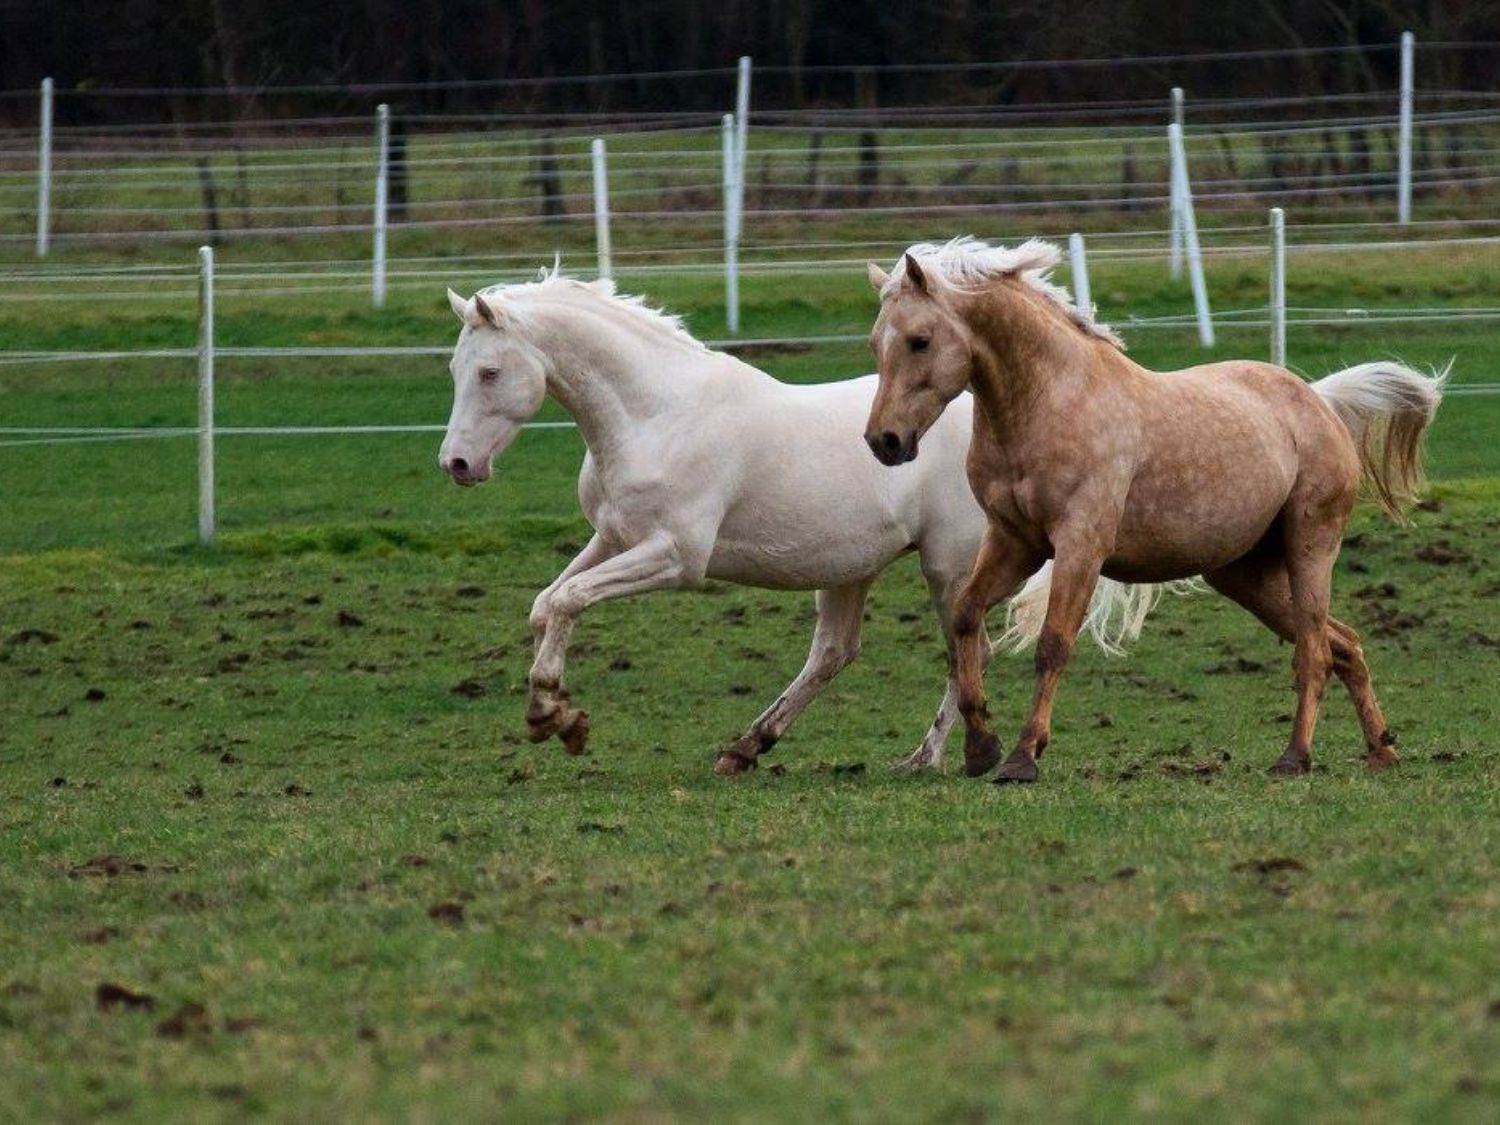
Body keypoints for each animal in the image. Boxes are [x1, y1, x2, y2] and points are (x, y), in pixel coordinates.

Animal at [435, 271, 1158, 774]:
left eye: (490, 371)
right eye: (454, 369)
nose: (457, 464)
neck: (657, 413)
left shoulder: (675, 556)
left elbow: (567, 600)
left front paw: (549, 710)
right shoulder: (613, 537)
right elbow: (548, 603)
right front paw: (559, 716)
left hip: (950, 566)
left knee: (964, 649)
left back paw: (931, 758)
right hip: (851, 568)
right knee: (836, 653)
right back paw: (748, 747)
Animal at [870, 238, 1440, 786]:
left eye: (920, 340)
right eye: (876, 343)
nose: (884, 441)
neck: (1052, 400)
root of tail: (1318, 400)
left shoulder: (1080, 546)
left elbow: (1053, 644)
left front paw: (1023, 756)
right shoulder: (1015, 542)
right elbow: (965, 618)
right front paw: (980, 747)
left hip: (1310, 548)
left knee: (1315, 652)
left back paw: (1295, 758)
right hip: (1245, 575)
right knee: (1345, 644)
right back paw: (1382, 751)